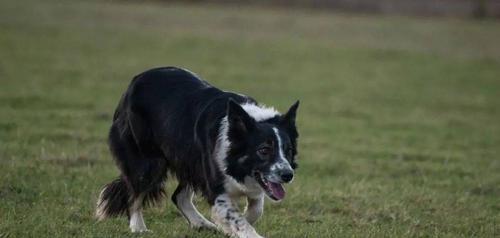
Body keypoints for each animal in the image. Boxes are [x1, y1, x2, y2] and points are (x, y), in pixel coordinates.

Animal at [95, 67, 298, 238]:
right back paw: (138, 228)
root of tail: (135, 81)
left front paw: (228, 228)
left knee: (178, 196)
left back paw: (203, 224)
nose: (288, 175)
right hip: (148, 162)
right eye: (264, 150)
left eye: (288, 150)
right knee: (135, 195)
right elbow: (237, 218)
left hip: (190, 161)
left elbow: (255, 210)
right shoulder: (216, 188)